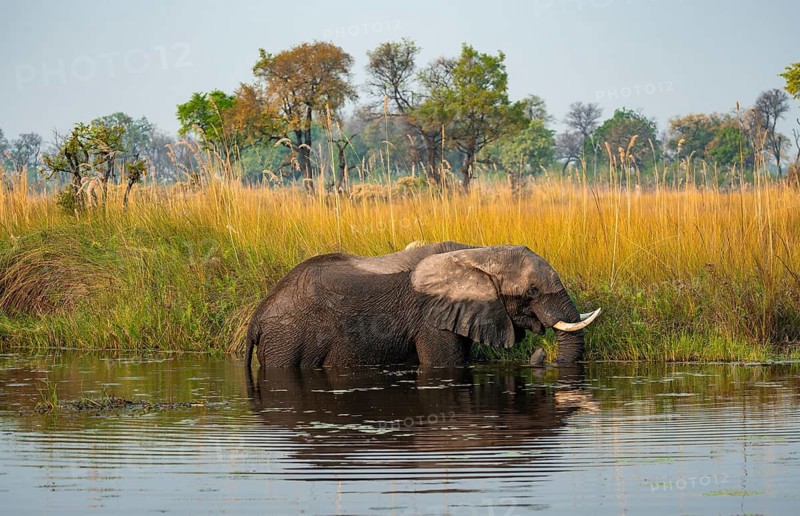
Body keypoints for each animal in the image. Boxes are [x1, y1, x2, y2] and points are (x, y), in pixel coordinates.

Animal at [245, 241, 600, 368]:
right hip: (288, 340)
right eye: (532, 291)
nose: (540, 354)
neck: (480, 253)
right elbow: (445, 364)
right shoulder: (431, 321)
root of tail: (257, 318)